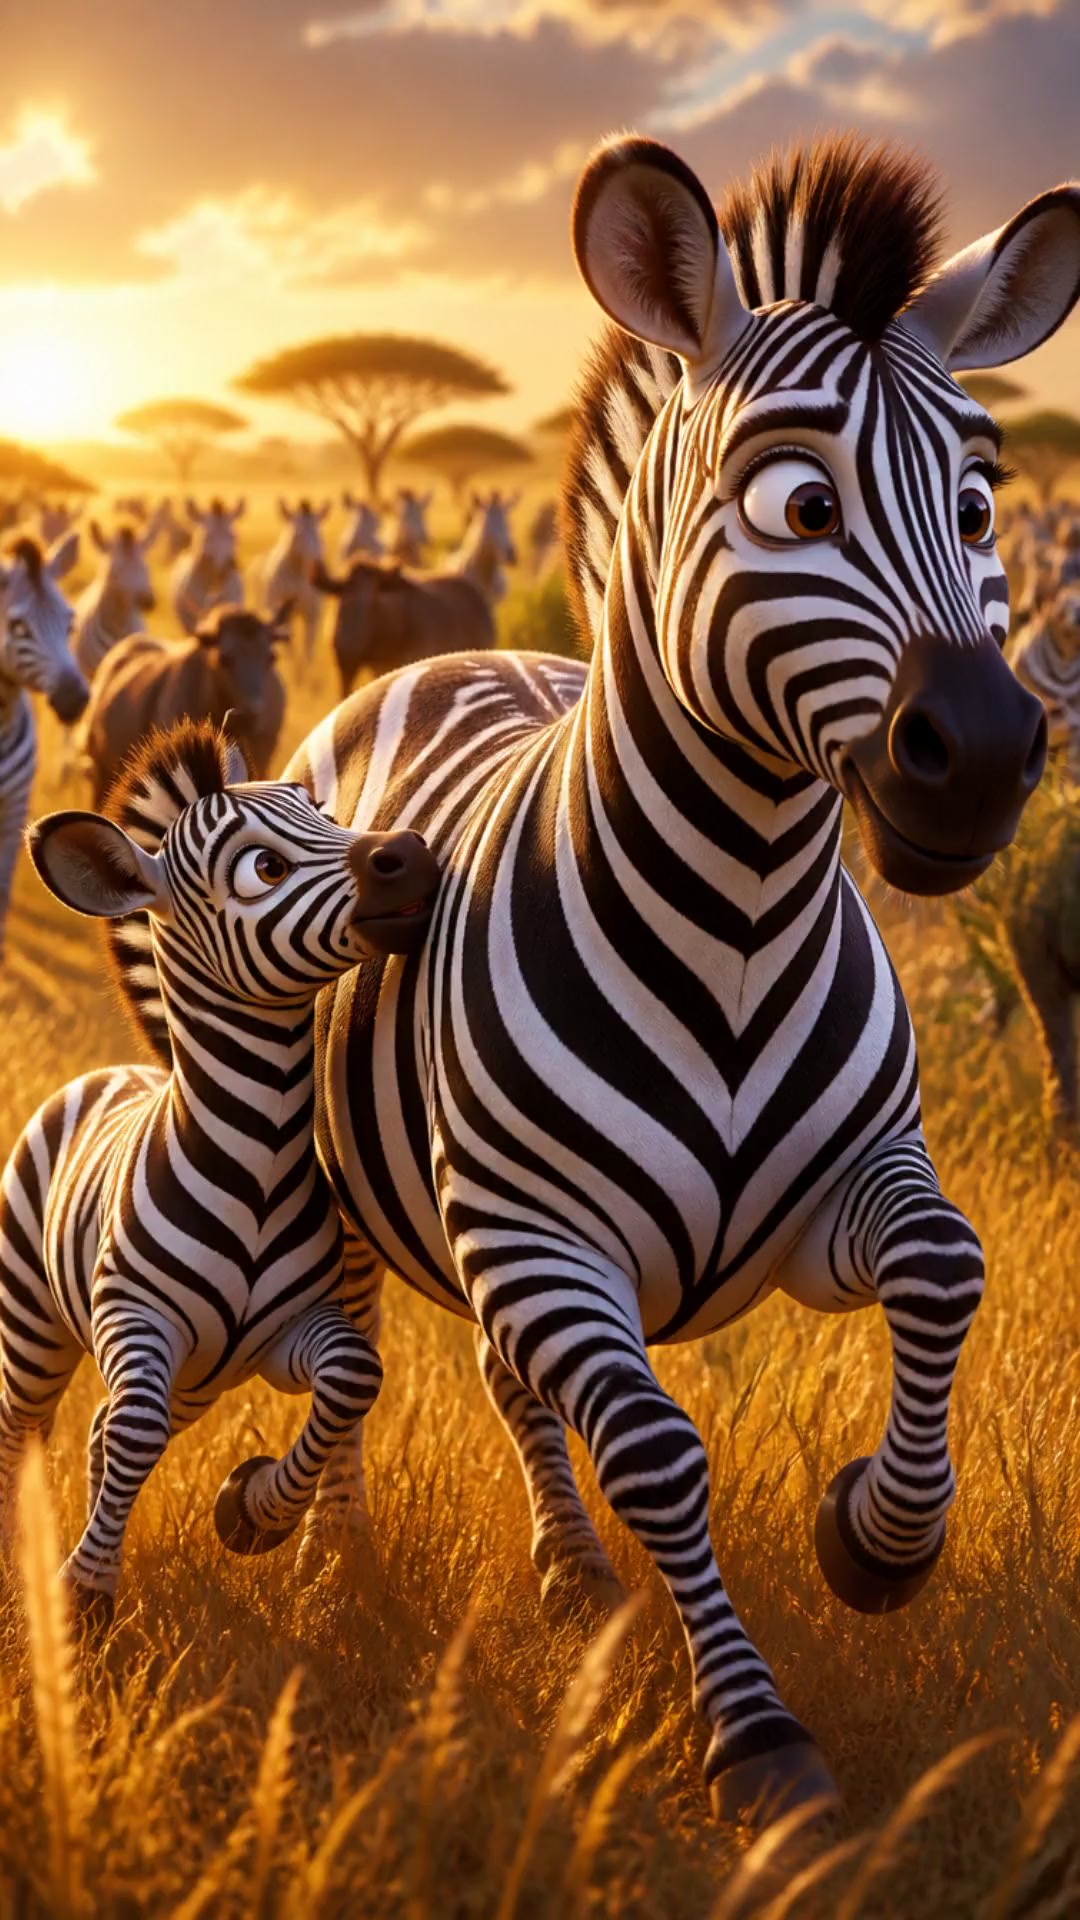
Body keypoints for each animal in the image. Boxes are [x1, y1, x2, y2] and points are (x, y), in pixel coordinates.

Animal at [0, 718, 441, 1628]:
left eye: (325, 814)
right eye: (262, 868)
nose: (411, 853)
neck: (261, 1159)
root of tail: (114, 1074)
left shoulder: (287, 1332)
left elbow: (353, 1374)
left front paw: (252, 1510)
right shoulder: (137, 1320)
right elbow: (131, 1435)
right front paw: (84, 1593)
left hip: (190, 1383)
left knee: (104, 1429)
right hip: (33, 1320)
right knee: (26, 1431)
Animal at [248, 498, 329, 669]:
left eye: (320, 535)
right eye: (296, 535)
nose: (319, 567)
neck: (299, 577)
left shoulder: (313, 614)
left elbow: (308, 653)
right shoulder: (280, 612)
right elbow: (291, 653)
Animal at [278, 132, 1078, 1826]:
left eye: (984, 503)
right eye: (795, 499)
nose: (985, 757)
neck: (740, 920)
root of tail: (440, 657)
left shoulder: (845, 1198)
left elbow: (947, 1266)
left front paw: (879, 1540)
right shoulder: (544, 1240)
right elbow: (654, 1449)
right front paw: (759, 1737)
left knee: (504, 1379)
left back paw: (571, 1578)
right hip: (368, 1196)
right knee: (365, 1346)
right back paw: (331, 1558)